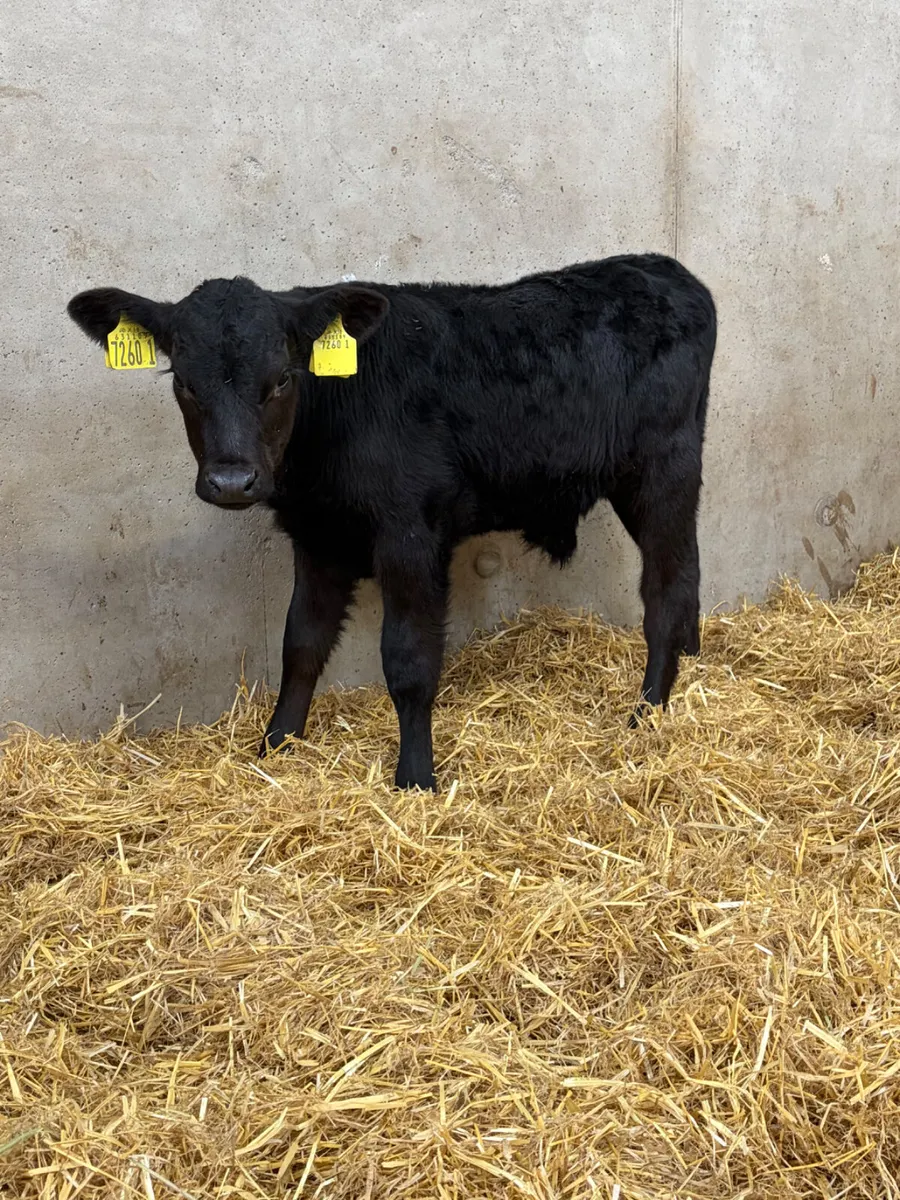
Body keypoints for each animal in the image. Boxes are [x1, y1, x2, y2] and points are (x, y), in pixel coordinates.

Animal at [68, 254, 717, 791]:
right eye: (182, 381)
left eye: (282, 379)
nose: (231, 481)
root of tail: (663, 268)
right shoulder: (317, 536)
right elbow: (300, 643)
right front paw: (276, 746)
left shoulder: (410, 534)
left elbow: (407, 660)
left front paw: (415, 778)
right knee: (688, 574)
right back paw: (691, 665)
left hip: (664, 469)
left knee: (666, 588)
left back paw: (648, 712)